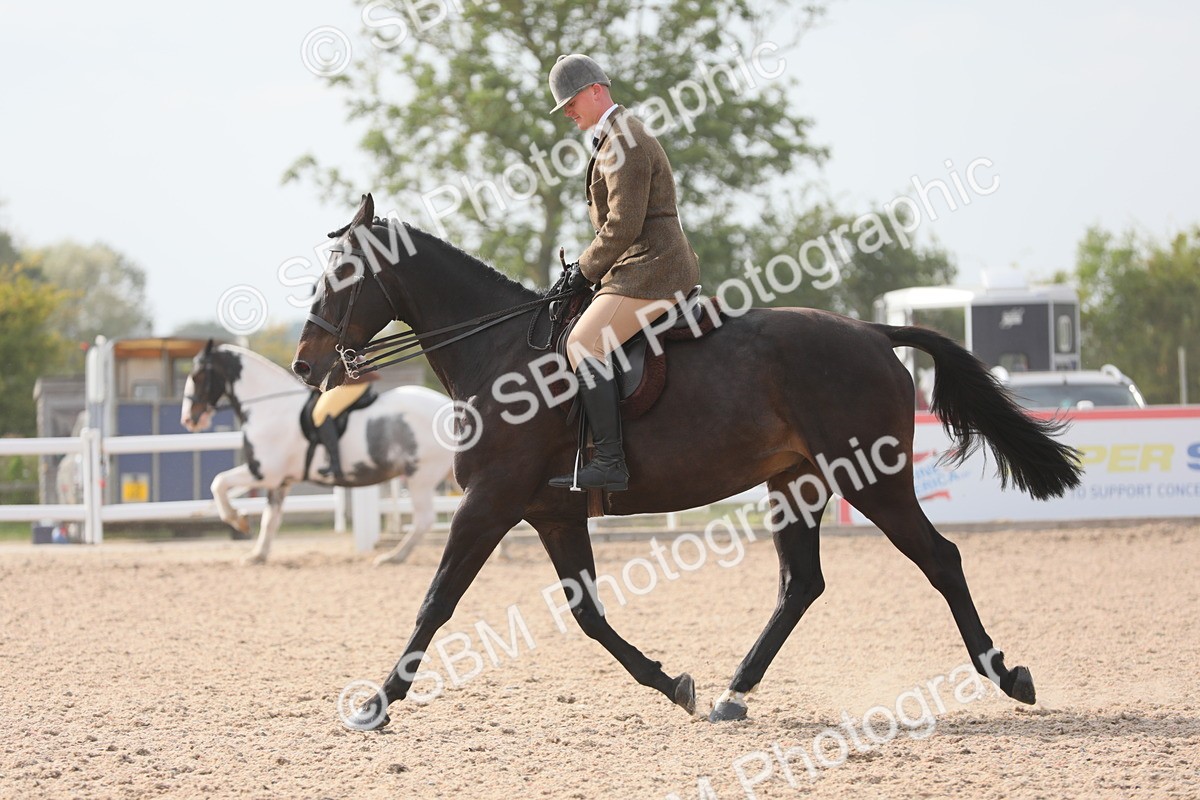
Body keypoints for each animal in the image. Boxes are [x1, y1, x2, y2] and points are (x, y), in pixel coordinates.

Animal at [181, 341, 455, 565]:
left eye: (196, 376)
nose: (189, 419)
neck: (270, 407)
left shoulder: (264, 472)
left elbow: (219, 483)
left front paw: (238, 520)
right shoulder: (280, 482)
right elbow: (271, 518)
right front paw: (258, 555)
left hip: (421, 476)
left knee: (424, 520)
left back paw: (393, 556)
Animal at [291, 194, 1082, 728]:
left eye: (344, 275)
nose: (304, 364)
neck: (501, 353)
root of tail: (871, 332)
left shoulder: (491, 500)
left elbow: (436, 601)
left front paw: (375, 702)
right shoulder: (551, 512)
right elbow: (589, 614)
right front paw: (673, 684)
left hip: (873, 479)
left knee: (939, 559)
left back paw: (1007, 675)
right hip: (796, 483)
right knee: (802, 584)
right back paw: (734, 692)